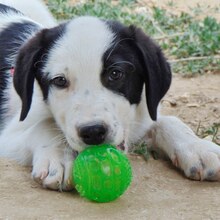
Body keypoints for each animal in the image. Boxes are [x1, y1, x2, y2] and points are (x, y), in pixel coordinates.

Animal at [0, 0, 220, 191]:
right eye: (60, 81)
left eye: (115, 74)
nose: (93, 132)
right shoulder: (9, 134)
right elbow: (44, 125)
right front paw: (60, 158)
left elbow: (167, 121)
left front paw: (199, 148)